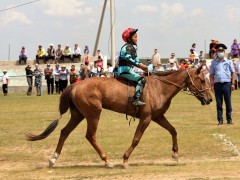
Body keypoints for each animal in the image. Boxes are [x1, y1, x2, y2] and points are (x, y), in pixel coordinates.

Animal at [26, 67, 212, 168]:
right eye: (202, 80)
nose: (210, 99)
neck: (160, 87)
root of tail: (74, 84)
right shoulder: (146, 118)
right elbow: (136, 139)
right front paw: (125, 159)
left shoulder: (158, 117)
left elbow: (173, 130)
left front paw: (175, 154)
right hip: (93, 114)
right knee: (90, 136)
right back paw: (107, 160)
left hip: (78, 115)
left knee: (64, 132)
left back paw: (53, 159)